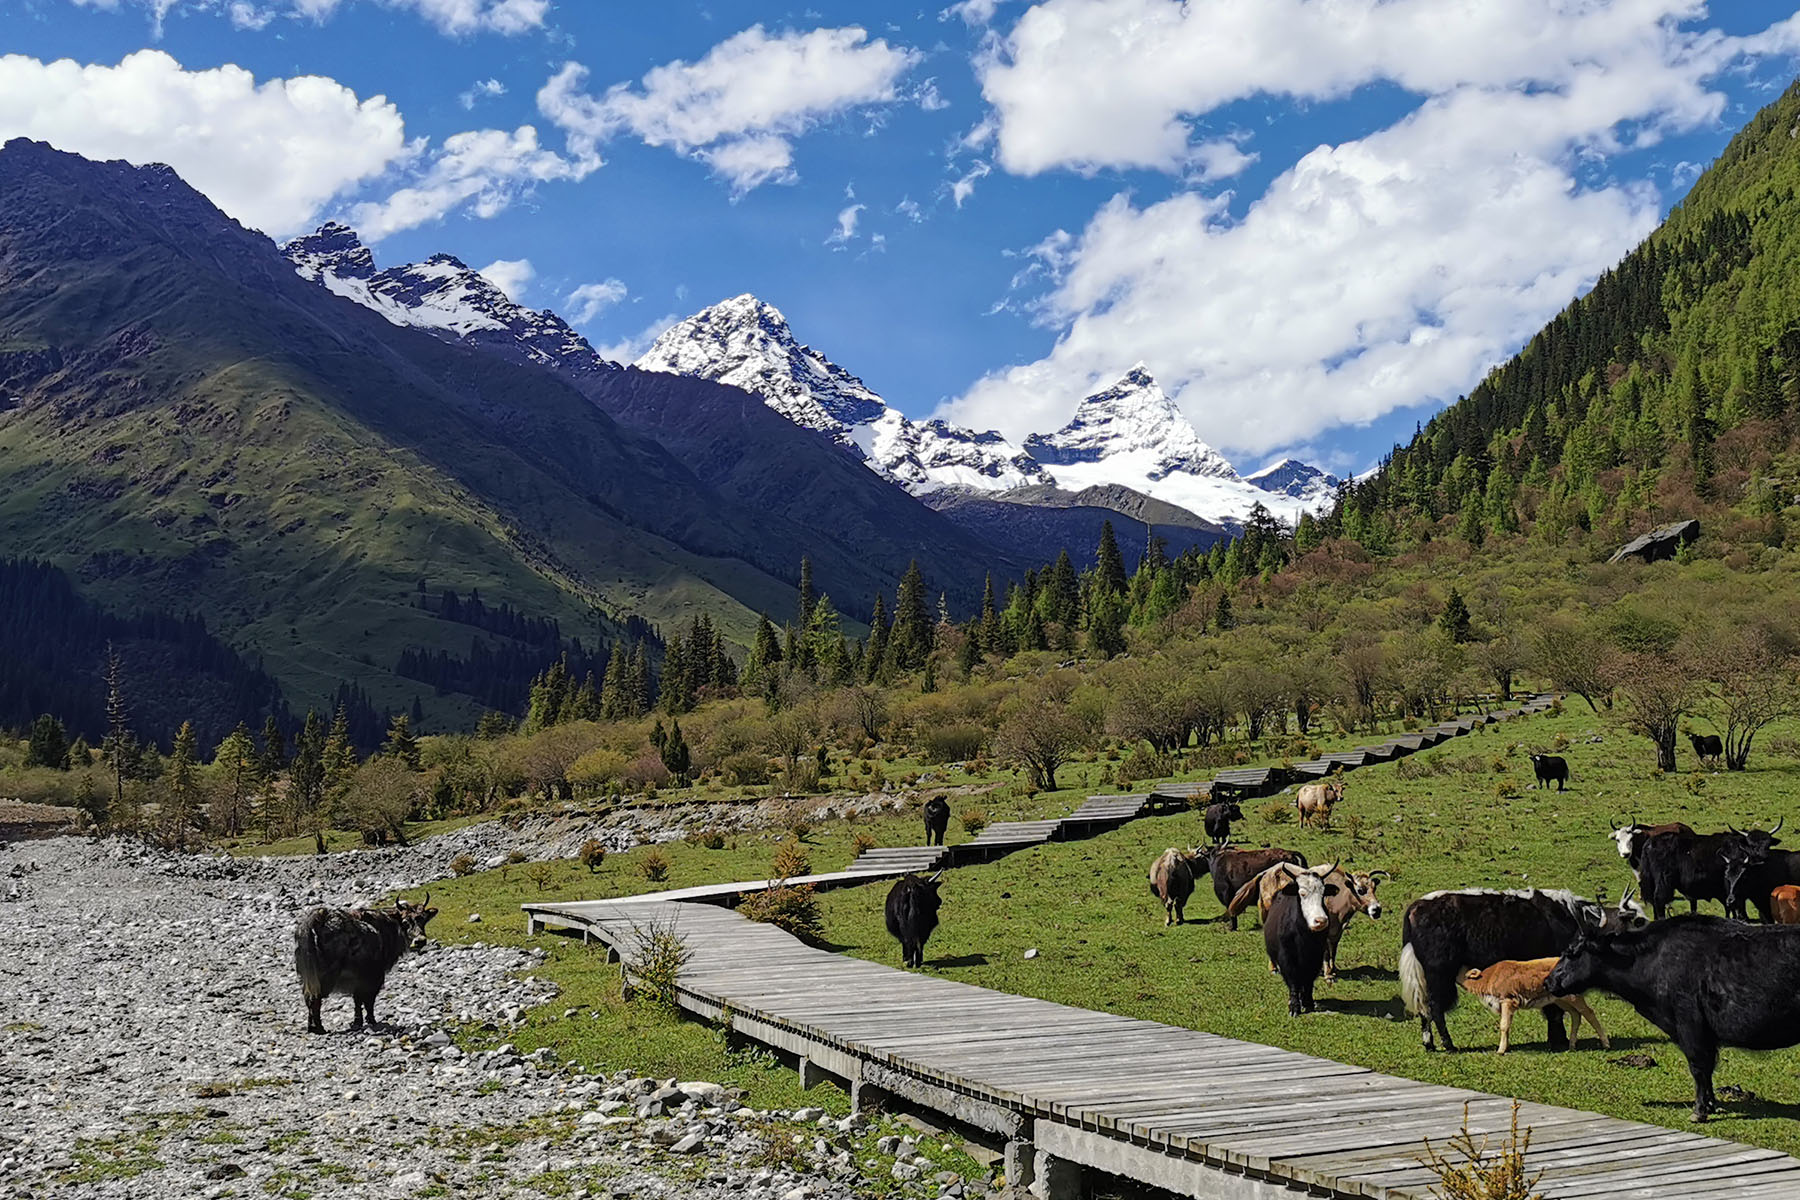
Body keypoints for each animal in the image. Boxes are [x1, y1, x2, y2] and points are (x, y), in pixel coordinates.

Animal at [1461, 957, 1605, 1050]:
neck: (1488, 977)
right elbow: (1507, 1025)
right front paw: (1506, 1047)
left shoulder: (1507, 1000)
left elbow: (1504, 1025)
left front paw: (1500, 1051)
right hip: (1561, 1000)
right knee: (1576, 1015)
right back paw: (1572, 1046)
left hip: (1573, 997)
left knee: (1589, 1013)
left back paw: (1605, 1044)